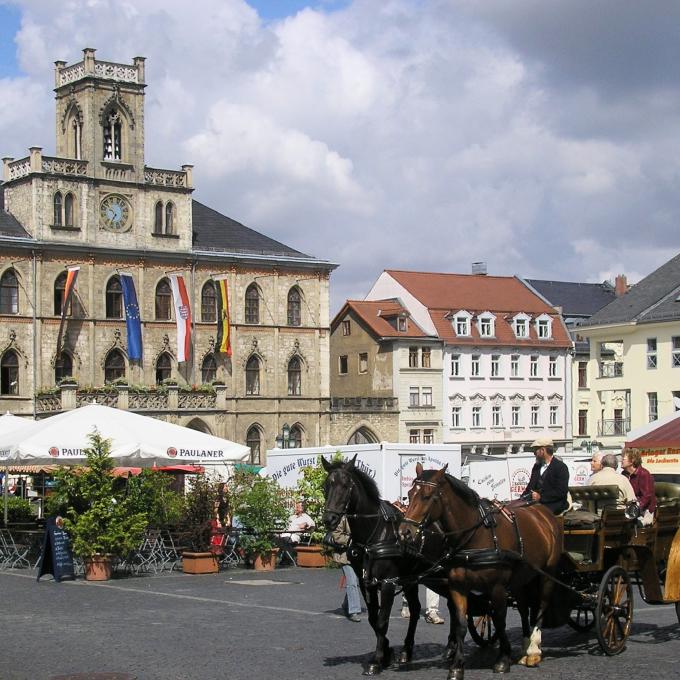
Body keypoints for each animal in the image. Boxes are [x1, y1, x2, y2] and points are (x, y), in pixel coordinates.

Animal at [398, 462, 564, 680]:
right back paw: (525, 646)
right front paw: (457, 666)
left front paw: (503, 659)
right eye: (409, 494)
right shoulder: (458, 587)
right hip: (521, 577)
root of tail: (542, 512)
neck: (474, 537)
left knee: (542, 605)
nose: (404, 532)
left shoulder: (497, 587)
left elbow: (500, 619)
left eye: (428, 496)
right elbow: (460, 624)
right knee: (523, 607)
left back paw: (534, 650)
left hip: (547, 573)